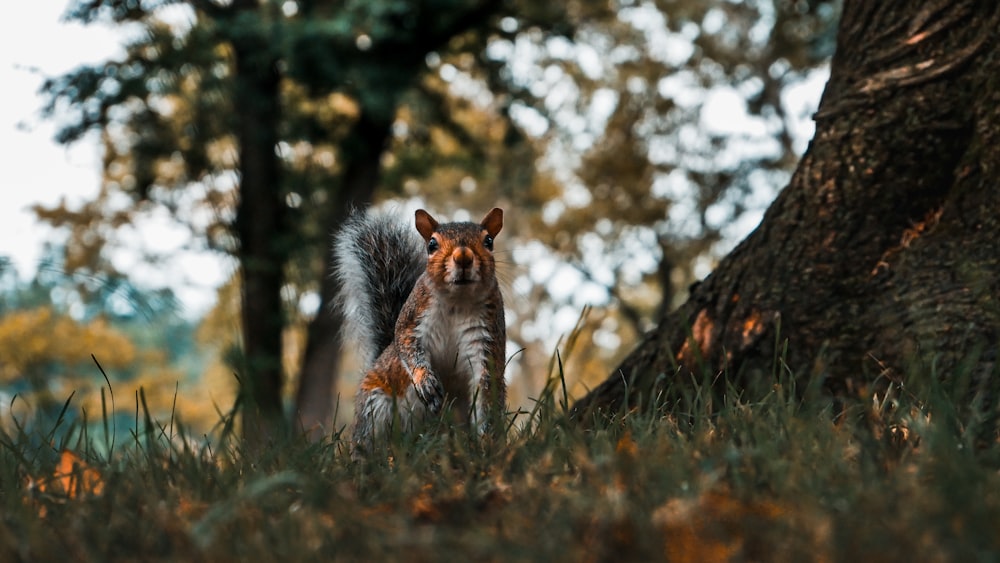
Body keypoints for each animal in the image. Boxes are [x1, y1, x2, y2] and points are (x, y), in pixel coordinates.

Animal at [336, 205, 508, 456]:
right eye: (432, 244)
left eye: (489, 241)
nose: (463, 257)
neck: (457, 301)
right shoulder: (412, 320)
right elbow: (407, 347)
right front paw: (425, 381)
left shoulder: (485, 337)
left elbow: (487, 388)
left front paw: (488, 443)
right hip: (375, 406)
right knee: (370, 437)